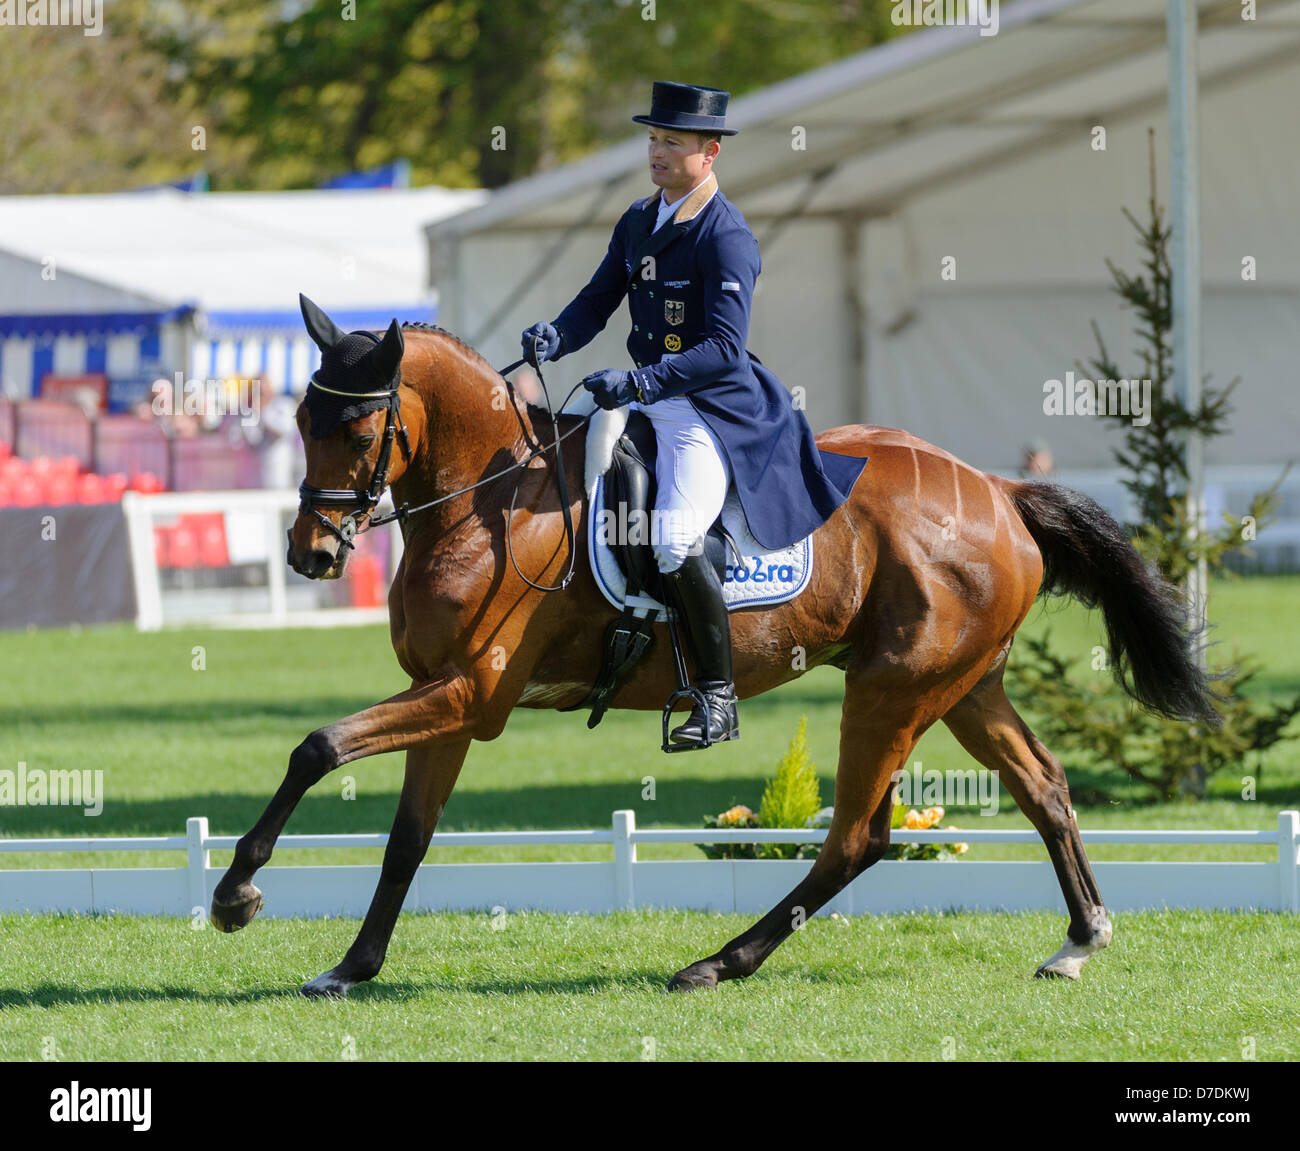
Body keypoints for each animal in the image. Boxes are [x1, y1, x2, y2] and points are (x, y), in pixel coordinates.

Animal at [210, 305, 1216, 998]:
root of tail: (1001, 492)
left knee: (859, 835)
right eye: (298, 423)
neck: (487, 500)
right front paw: (351, 965)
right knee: (1044, 785)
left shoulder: (471, 694)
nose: (312, 555)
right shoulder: (445, 696)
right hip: (965, 686)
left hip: (892, 691)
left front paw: (236, 895)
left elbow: (316, 747)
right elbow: (405, 840)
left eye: (353, 427)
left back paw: (719, 962)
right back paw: (1079, 940)